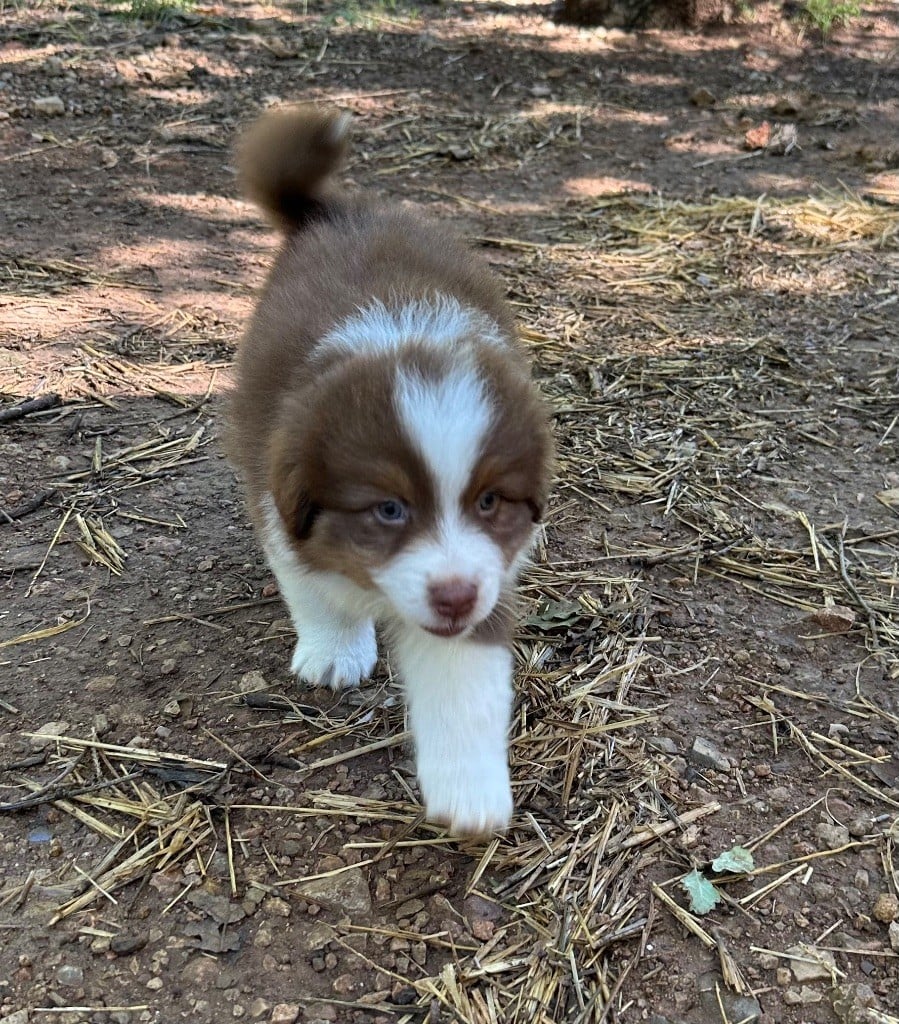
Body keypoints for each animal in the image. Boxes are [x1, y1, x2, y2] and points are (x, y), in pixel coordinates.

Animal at [230, 108, 557, 835]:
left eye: (489, 502)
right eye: (388, 509)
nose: (454, 596)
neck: (403, 336)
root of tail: (333, 214)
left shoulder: (488, 575)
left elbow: (465, 682)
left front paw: (470, 791)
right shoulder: (279, 497)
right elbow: (316, 589)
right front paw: (334, 652)